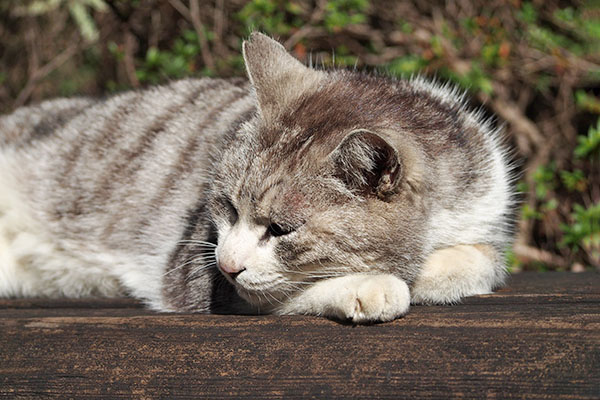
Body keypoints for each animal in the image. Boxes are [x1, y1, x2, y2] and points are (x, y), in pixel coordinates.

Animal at [1, 32, 516, 324]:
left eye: (282, 229)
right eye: (227, 207)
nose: (228, 265)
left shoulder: (486, 211)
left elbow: (477, 262)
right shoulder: (196, 273)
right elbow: (289, 291)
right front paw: (373, 283)